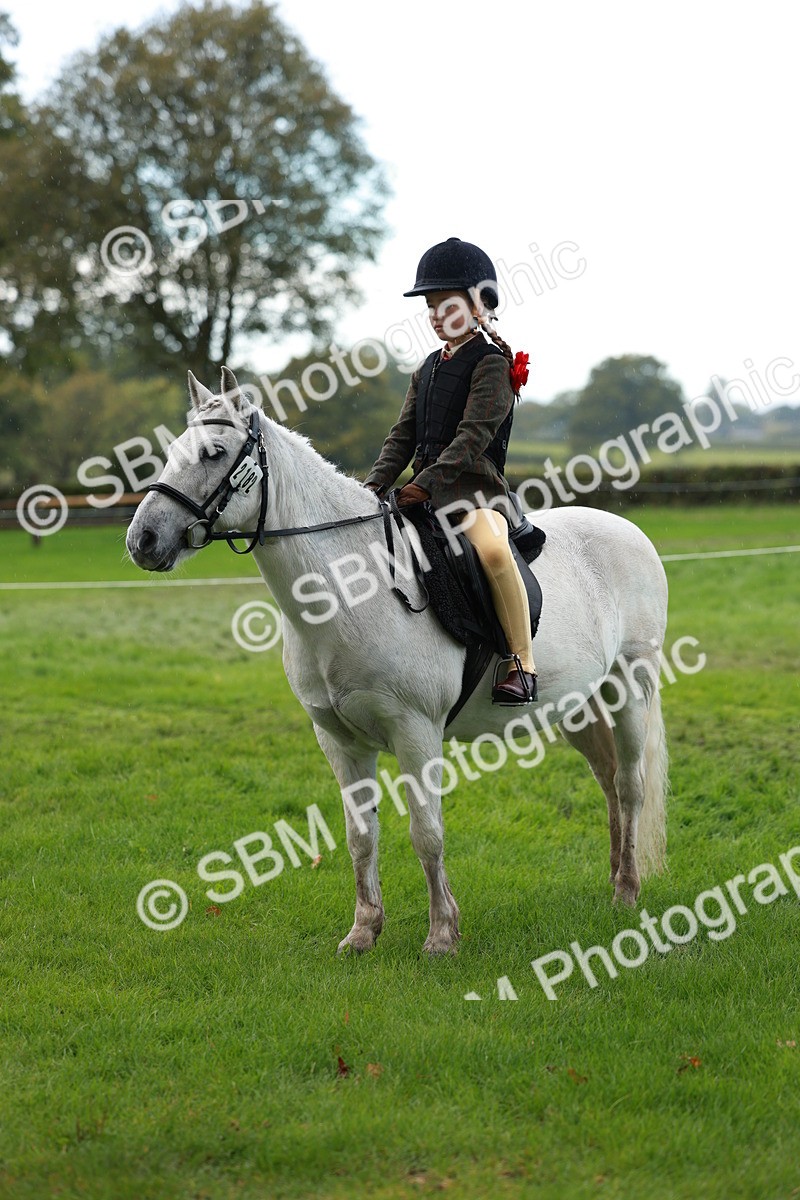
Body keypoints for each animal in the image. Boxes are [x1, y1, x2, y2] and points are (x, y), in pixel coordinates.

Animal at [126, 367, 669, 956]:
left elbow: (426, 834)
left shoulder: (416, 732)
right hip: (581, 705)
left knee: (630, 785)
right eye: (172, 453)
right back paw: (614, 878)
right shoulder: (339, 742)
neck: (349, 587)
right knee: (608, 779)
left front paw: (442, 936)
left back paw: (628, 892)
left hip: (630, 687)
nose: (143, 539)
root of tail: (630, 531)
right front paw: (363, 931)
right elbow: (360, 836)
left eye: (214, 453)